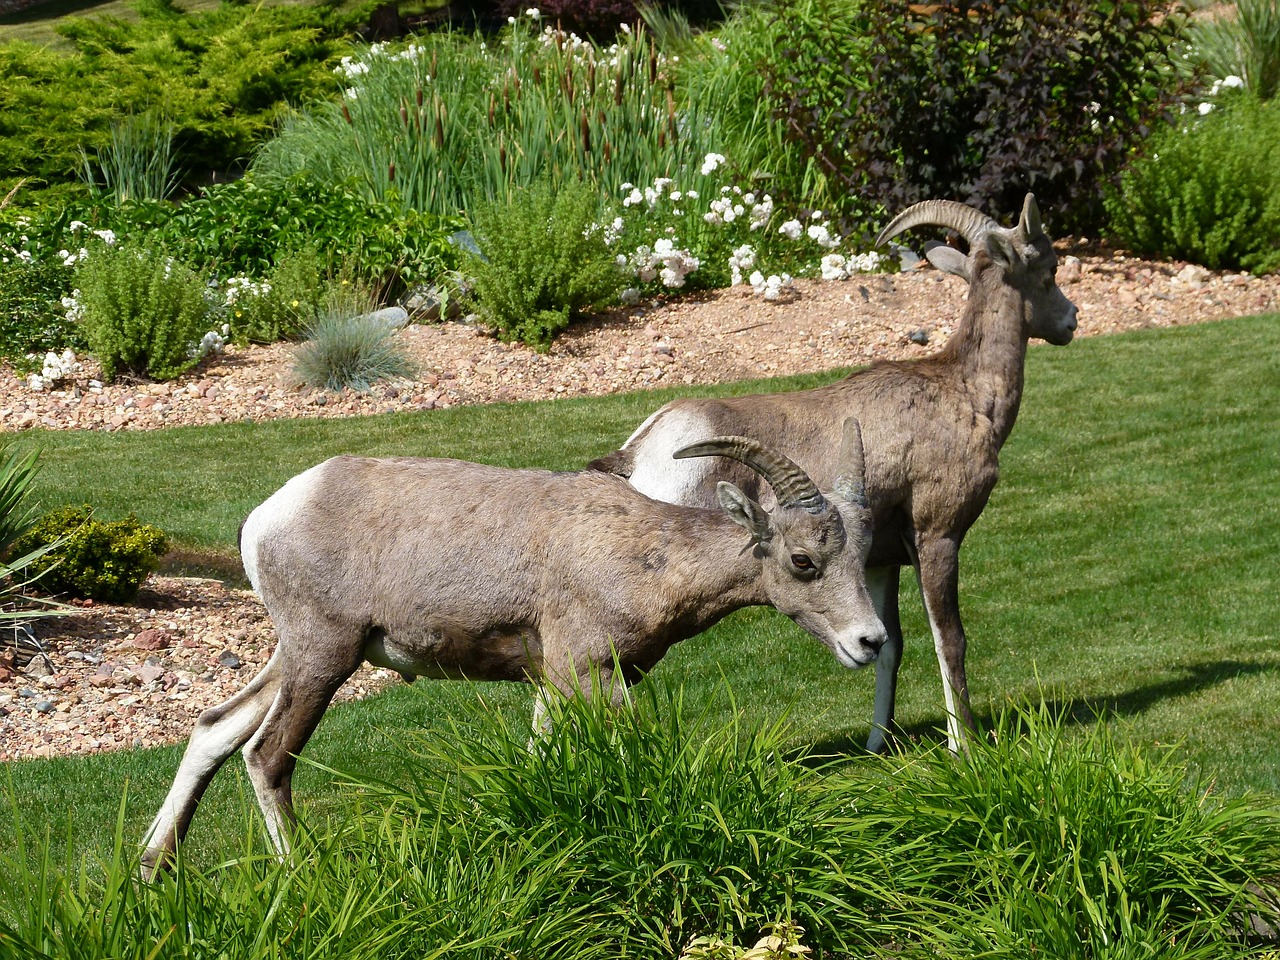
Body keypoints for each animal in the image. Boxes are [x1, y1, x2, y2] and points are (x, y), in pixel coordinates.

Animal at [137, 419, 880, 880]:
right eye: (803, 561)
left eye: (859, 556)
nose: (868, 641)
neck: (646, 556)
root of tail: (268, 516)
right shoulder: (588, 674)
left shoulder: (555, 684)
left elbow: (540, 762)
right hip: (324, 658)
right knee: (267, 756)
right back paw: (304, 875)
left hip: (291, 657)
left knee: (214, 729)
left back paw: (153, 871)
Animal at [591, 193, 1080, 752]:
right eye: (1049, 268)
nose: (1071, 320)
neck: (966, 393)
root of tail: (640, 453)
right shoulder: (937, 538)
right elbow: (949, 641)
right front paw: (964, 747)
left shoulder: (880, 562)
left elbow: (890, 645)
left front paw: (877, 747)